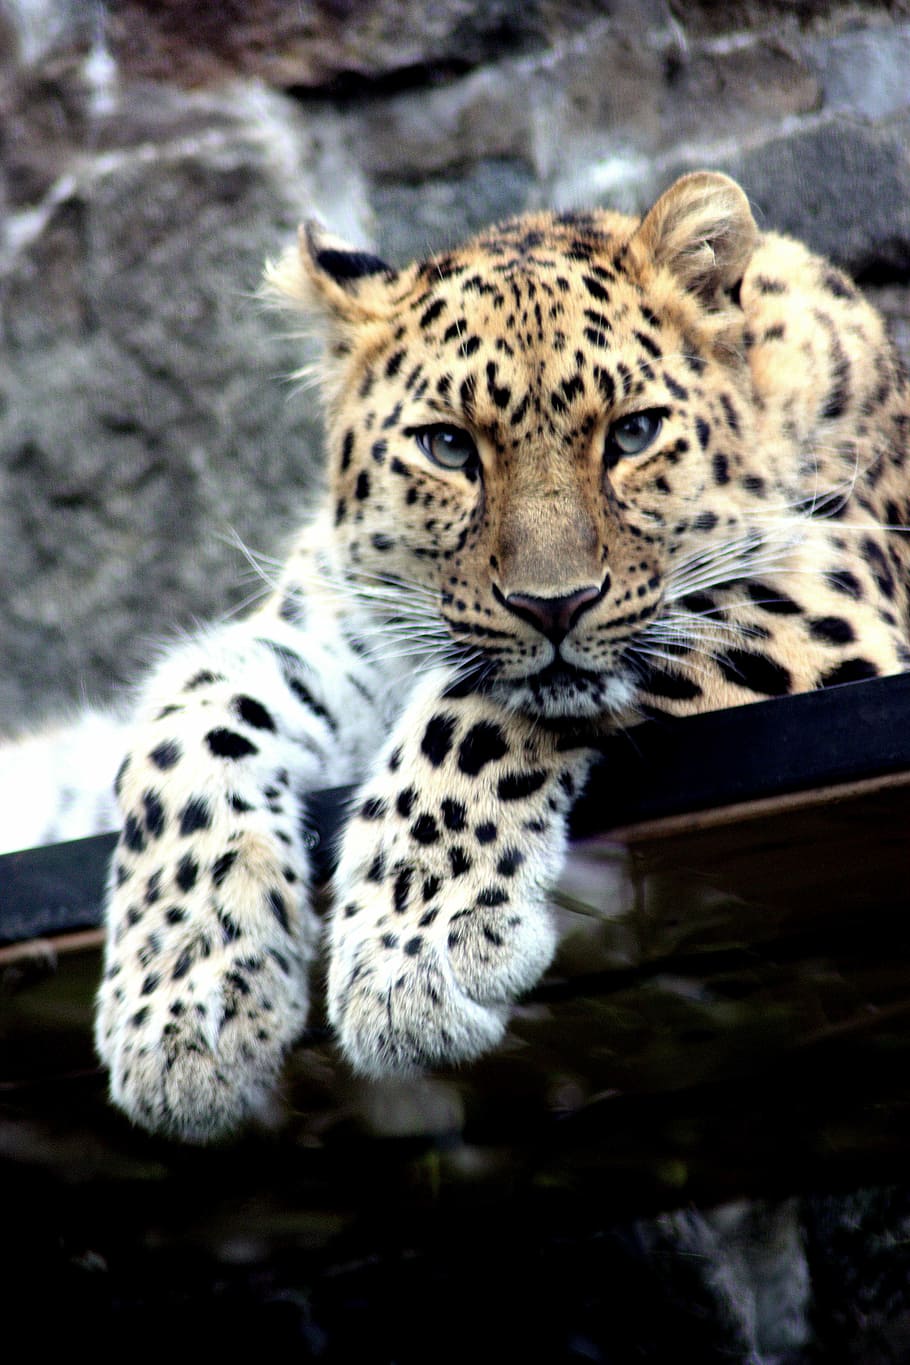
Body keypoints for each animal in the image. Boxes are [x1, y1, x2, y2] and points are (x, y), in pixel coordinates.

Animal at [49, 169, 910, 1142]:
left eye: (634, 433)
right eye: (449, 445)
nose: (554, 604)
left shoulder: (830, 598)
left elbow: (470, 717)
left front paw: (410, 960)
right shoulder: (328, 632)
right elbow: (183, 726)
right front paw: (181, 1007)